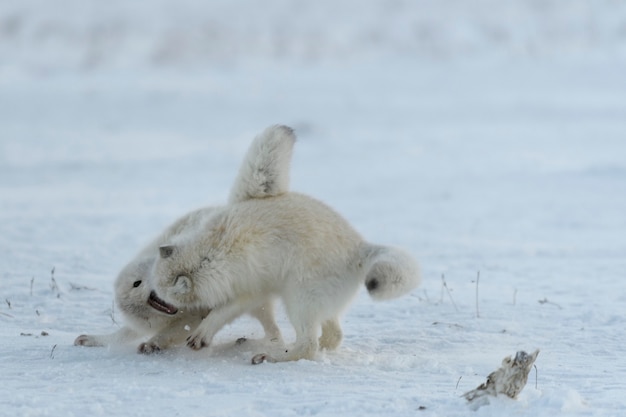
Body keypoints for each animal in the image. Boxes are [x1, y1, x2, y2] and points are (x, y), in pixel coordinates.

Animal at [73, 124, 294, 352]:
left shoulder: (195, 313)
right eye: (137, 284)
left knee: (274, 333)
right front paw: (93, 339)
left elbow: (172, 332)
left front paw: (152, 343)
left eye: (146, 274)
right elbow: (122, 334)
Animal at [150, 124, 420, 364]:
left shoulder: (251, 289)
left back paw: (271, 357)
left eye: (163, 294)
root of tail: (360, 247)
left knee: (309, 345)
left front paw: (201, 333)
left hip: (299, 299)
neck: (206, 253)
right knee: (332, 336)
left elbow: (221, 312)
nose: (151, 297)